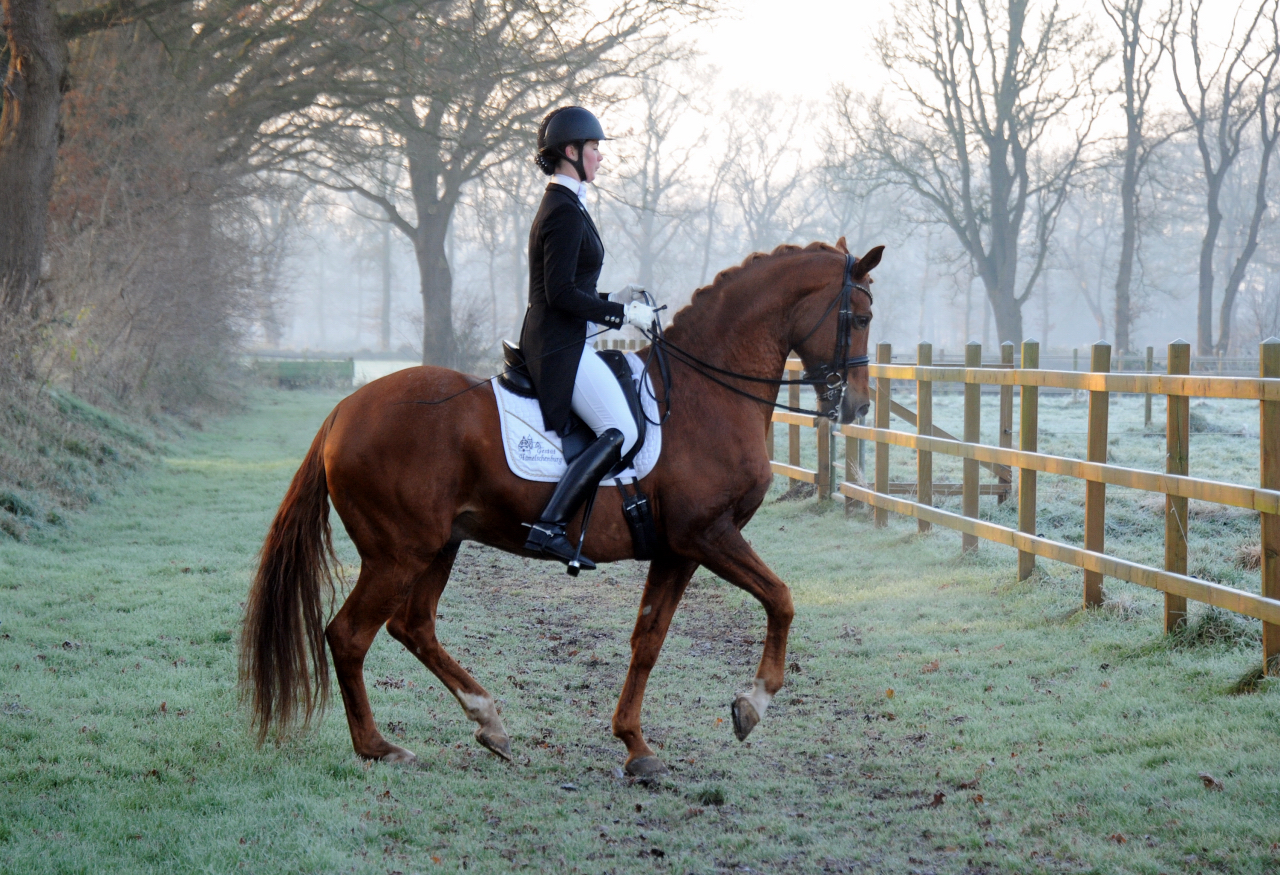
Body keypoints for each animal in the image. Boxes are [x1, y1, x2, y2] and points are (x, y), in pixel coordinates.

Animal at [238, 235, 880, 777]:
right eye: (863, 317)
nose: (857, 407)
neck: (703, 397)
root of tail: (345, 410)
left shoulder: (676, 550)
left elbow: (648, 640)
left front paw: (636, 746)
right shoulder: (708, 535)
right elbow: (782, 599)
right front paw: (752, 704)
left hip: (439, 545)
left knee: (412, 626)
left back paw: (489, 723)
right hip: (397, 554)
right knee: (349, 636)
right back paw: (380, 747)